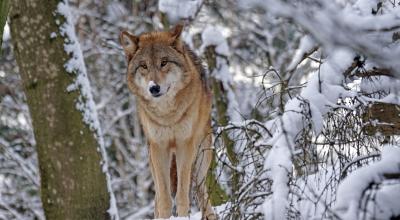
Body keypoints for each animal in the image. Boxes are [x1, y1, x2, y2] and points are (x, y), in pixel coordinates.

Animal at [120, 24, 217, 220]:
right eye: (144, 66)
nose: (154, 88)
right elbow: (164, 199)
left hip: (202, 156)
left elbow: (181, 195)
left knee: (200, 190)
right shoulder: (159, 148)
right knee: (157, 197)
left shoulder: (184, 145)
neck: (167, 115)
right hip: (153, 159)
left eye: (164, 62)